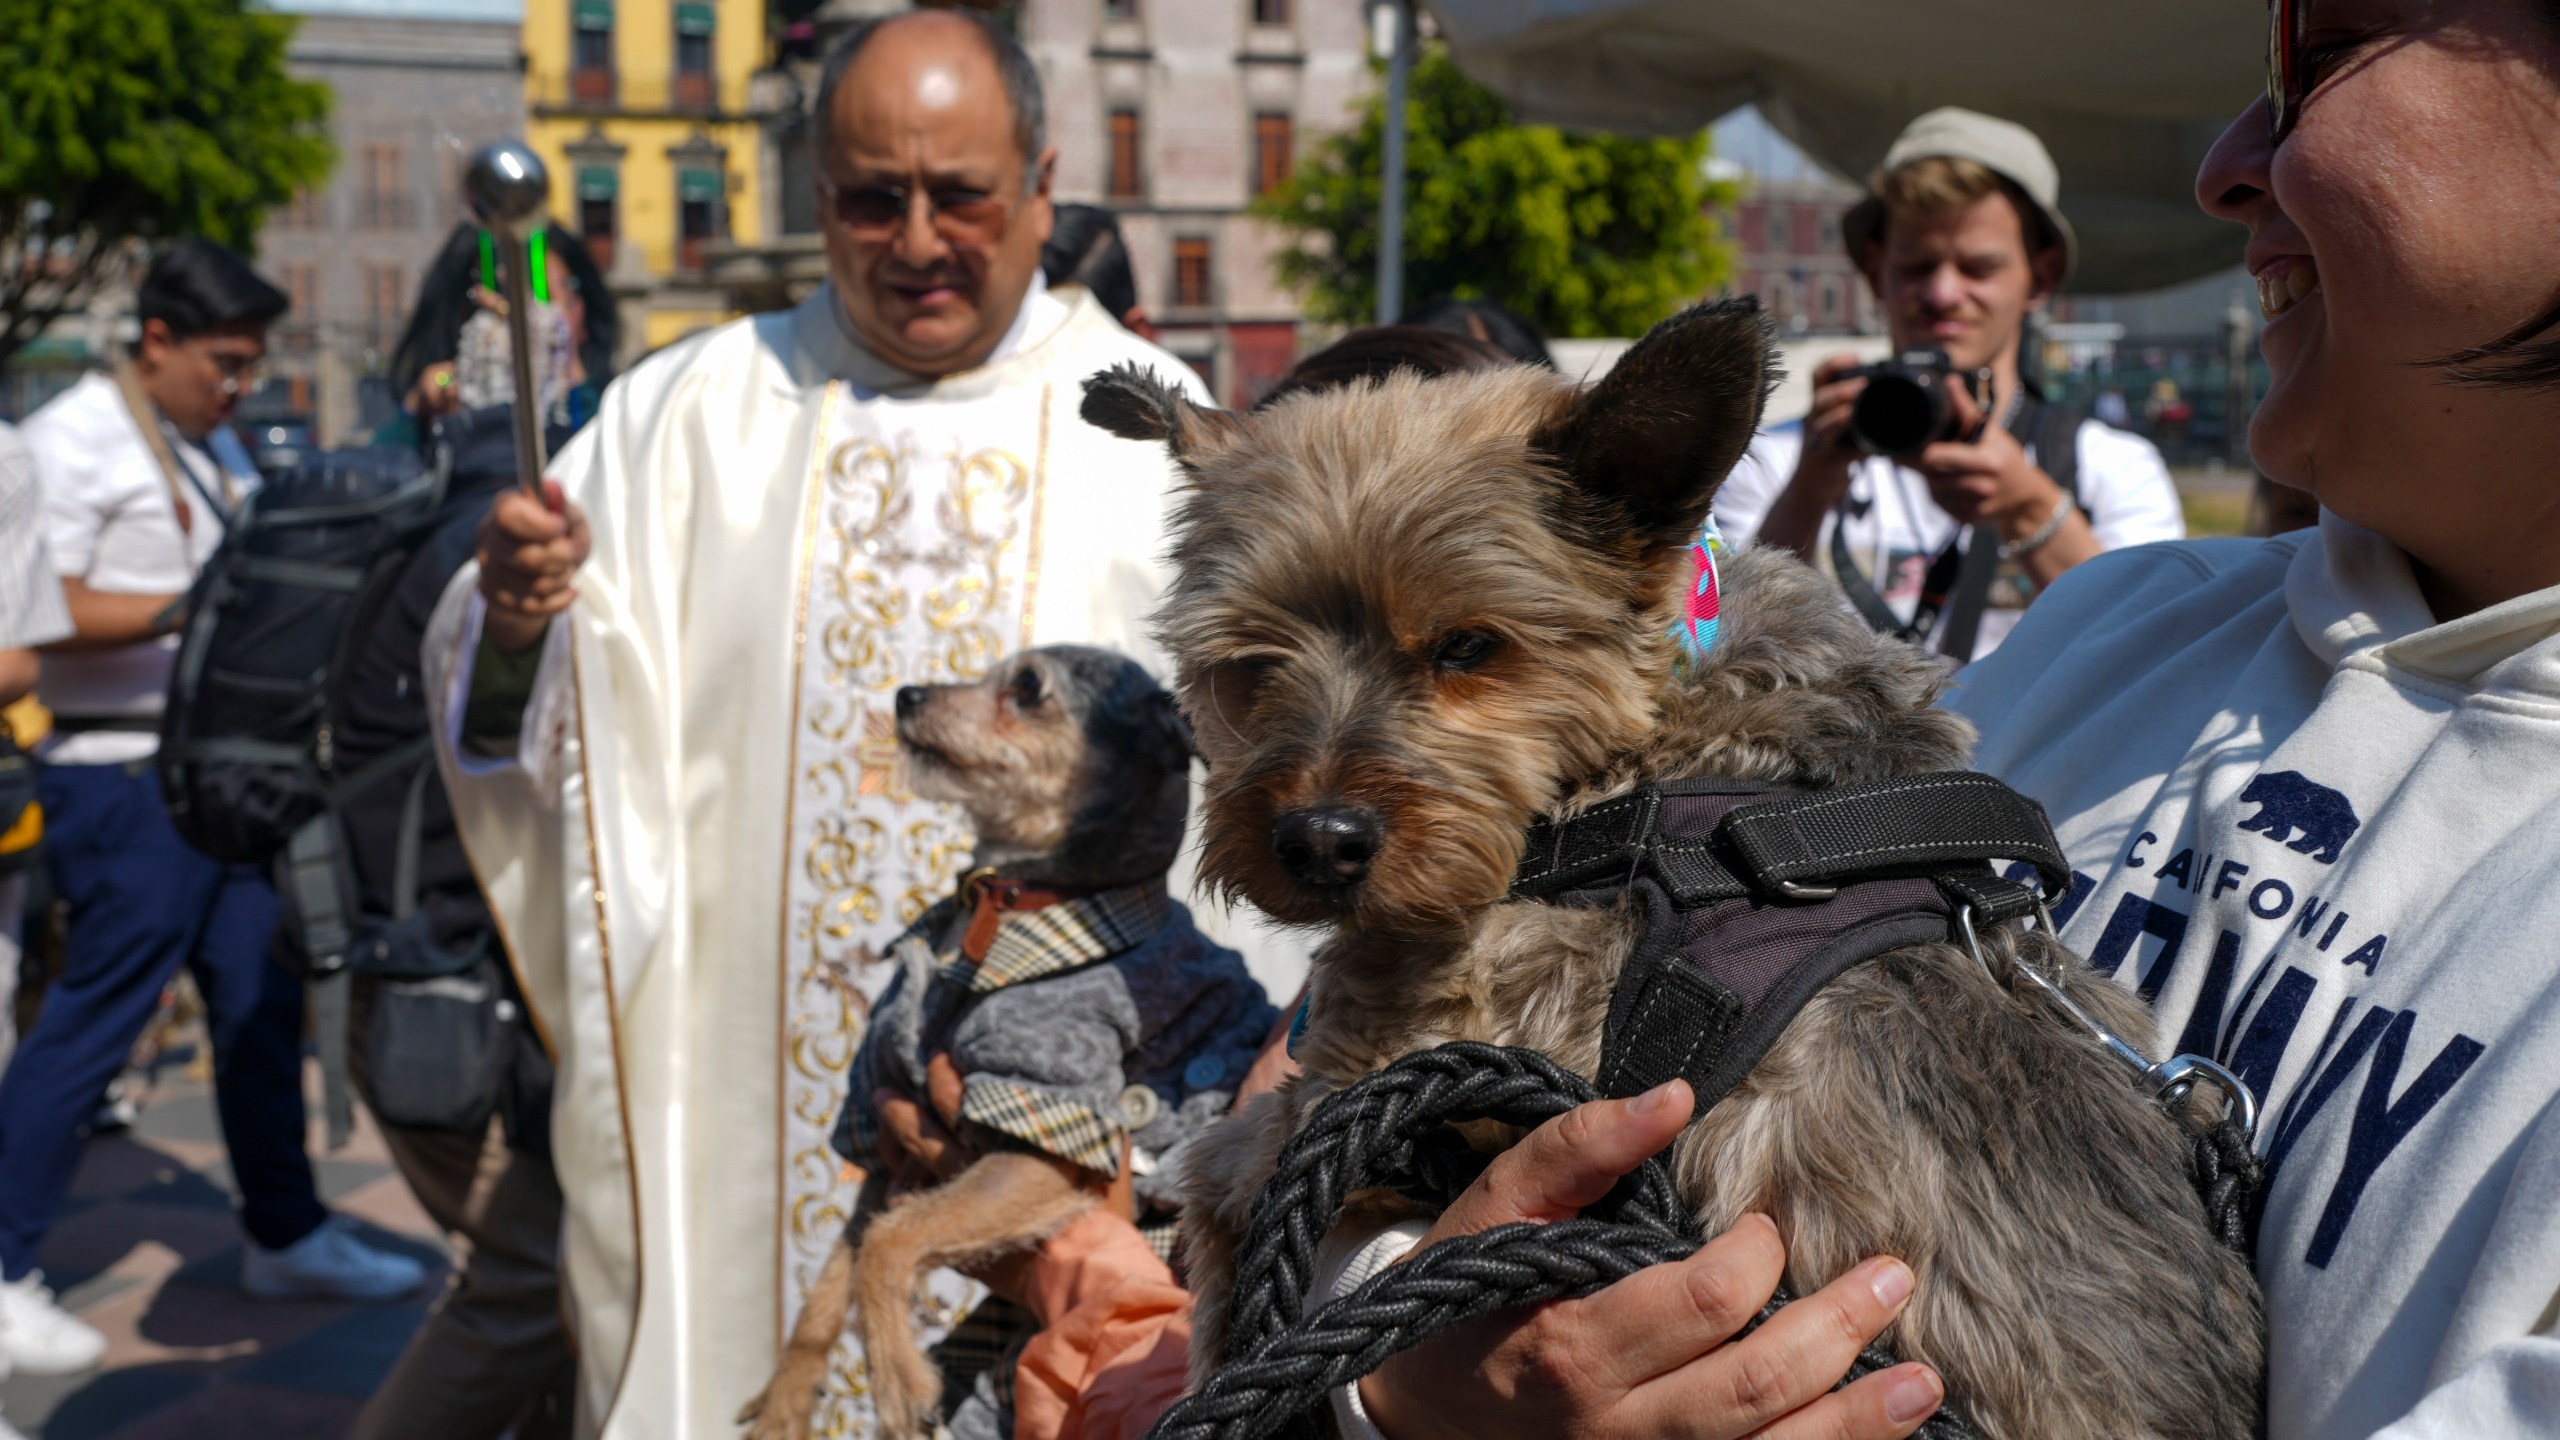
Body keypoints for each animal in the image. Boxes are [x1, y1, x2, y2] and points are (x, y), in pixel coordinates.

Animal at [742, 645, 1280, 1434]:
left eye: (1027, 688)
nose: (907, 695)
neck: (1003, 910)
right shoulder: (887, 1151)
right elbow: (830, 1284)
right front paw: (785, 1401)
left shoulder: (1047, 1134)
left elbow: (889, 1241)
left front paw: (897, 1378)